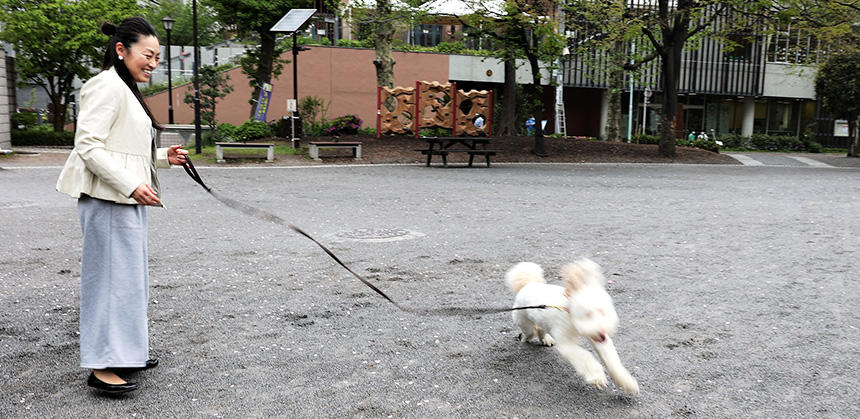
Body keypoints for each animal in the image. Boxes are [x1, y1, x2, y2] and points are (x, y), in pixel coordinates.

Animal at [504, 258, 640, 396]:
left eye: (602, 311)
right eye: (588, 314)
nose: (602, 330)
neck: (569, 312)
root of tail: (527, 284)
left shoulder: (598, 339)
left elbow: (611, 360)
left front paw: (627, 383)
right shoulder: (566, 342)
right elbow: (584, 356)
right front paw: (596, 376)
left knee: (540, 328)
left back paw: (546, 339)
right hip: (523, 320)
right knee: (531, 332)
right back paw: (526, 338)